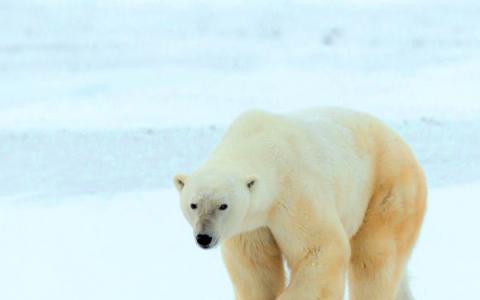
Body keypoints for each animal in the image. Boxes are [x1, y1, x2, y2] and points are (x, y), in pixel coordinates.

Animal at [173, 108, 428, 300]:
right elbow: (255, 267)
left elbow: (321, 249)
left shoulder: (294, 193)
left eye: (223, 205)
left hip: (387, 188)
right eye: (193, 205)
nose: (204, 237)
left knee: (374, 258)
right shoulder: (251, 223)